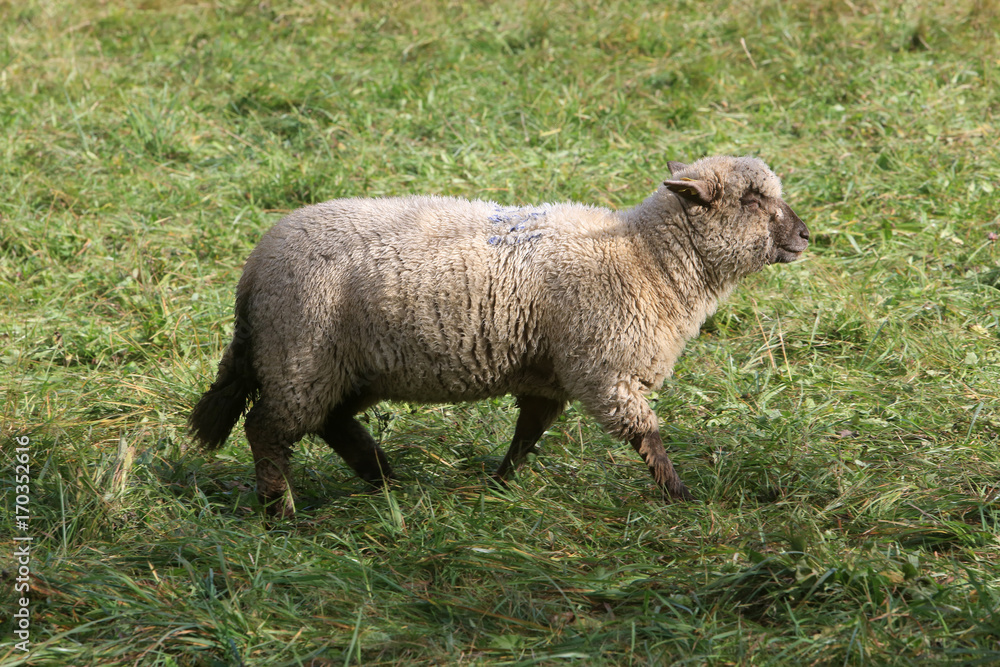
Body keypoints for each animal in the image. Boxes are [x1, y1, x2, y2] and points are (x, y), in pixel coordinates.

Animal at [189, 155, 809, 518]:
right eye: (751, 200)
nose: (806, 234)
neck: (647, 258)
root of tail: (255, 268)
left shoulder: (550, 376)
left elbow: (527, 434)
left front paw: (500, 485)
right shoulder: (604, 370)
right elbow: (647, 437)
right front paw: (681, 498)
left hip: (347, 365)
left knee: (332, 422)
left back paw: (384, 479)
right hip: (301, 354)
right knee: (268, 429)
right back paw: (282, 512)